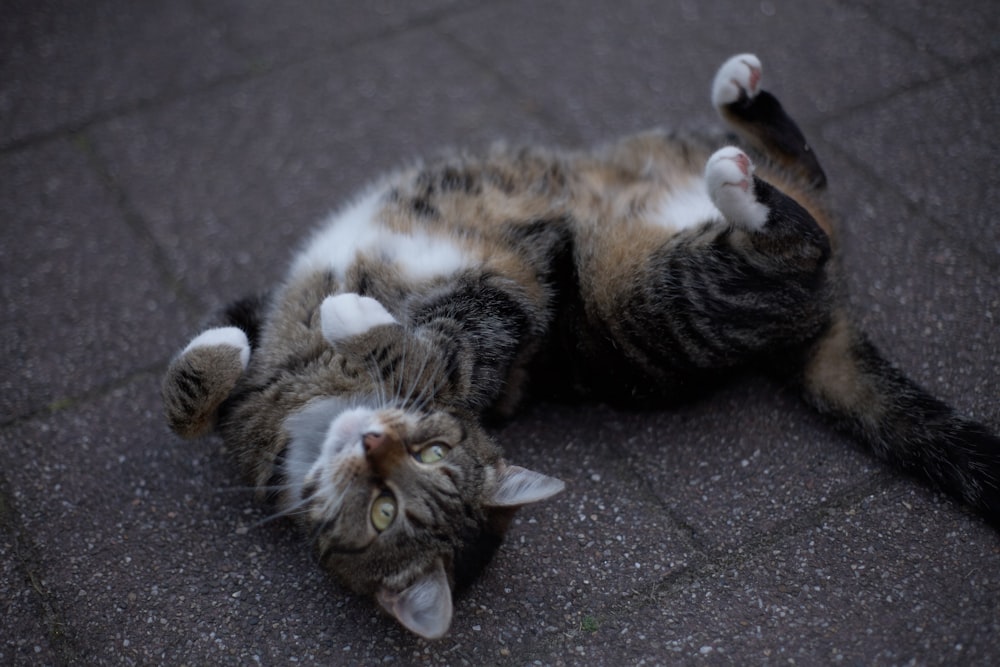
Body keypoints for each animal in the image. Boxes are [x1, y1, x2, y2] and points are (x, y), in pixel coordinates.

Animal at [162, 54, 1000, 640]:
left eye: (429, 455)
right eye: (383, 511)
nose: (371, 442)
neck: (309, 410)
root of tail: (820, 317)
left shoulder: (510, 313)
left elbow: (435, 344)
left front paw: (327, 317)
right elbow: (193, 402)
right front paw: (227, 348)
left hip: (651, 287)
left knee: (804, 214)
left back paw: (740, 113)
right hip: (663, 287)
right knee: (804, 212)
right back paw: (740, 151)